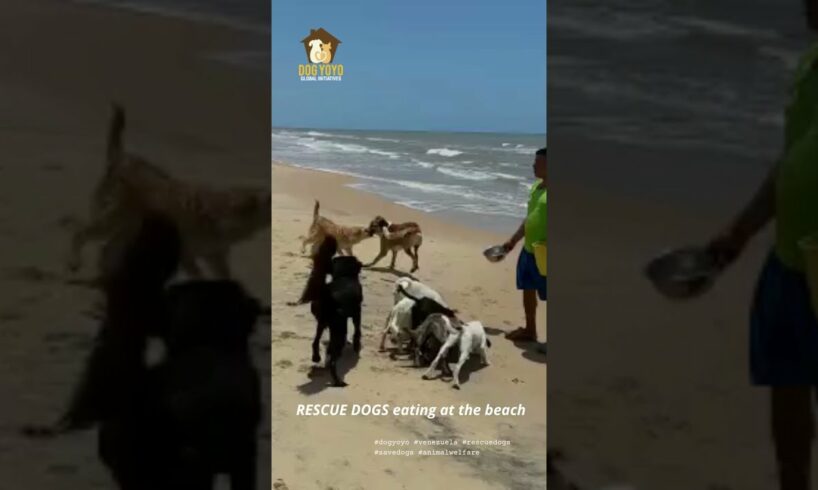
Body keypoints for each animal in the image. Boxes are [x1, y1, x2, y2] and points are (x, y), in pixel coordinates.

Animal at [66, 103, 270, 280]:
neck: (225, 213)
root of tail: (121, 159)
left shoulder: (216, 257)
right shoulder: (188, 256)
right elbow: (199, 276)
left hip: (127, 229)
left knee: (108, 249)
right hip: (112, 222)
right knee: (82, 234)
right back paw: (75, 262)